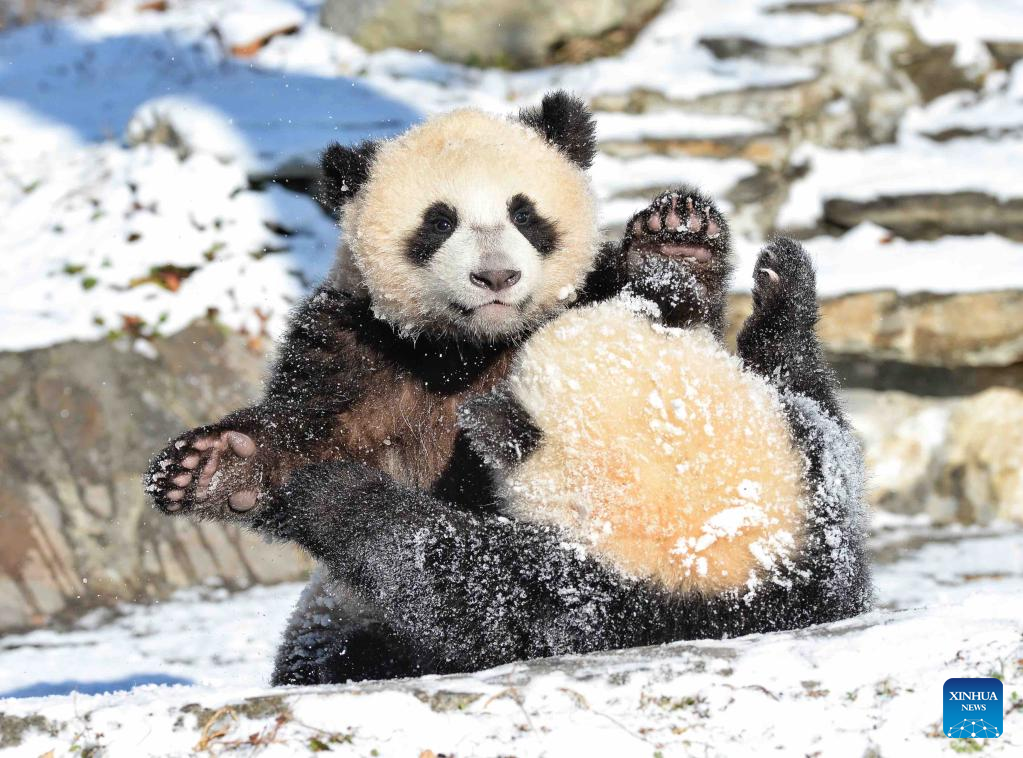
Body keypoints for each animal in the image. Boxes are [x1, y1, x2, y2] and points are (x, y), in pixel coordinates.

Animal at [148, 91, 870, 683]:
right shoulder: (358, 346)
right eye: (438, 221)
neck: (472, 349)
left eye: (524, 214)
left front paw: (678, 240)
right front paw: (218, 466)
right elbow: (310, 421)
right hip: (339, 618)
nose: (495, 276)